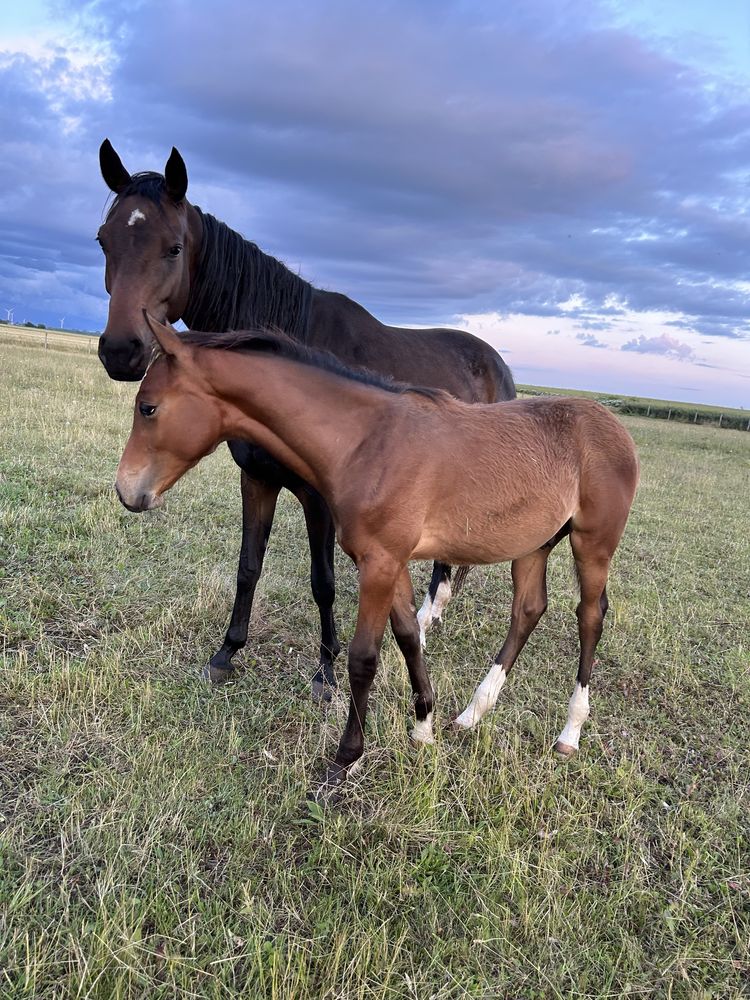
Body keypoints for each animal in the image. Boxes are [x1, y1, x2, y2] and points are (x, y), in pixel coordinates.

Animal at [97, 139, 516, 696]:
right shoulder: (257, 479)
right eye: (103, 241)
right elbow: (248, 567)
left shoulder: (319, 497)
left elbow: (323, 581)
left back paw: (425, 625)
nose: (120, 351)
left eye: (174, 248)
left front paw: (326, 670)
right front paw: (227, 653)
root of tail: (496, 363)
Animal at [116, 316, 640, 792]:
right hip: (534, 545)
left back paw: (570, 731)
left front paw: (346, 758)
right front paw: (424, 727)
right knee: (528, 610)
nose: (126, 491)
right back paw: (472, 713)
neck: (365, 441)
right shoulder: (393, 563)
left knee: (590, 617)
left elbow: (363, 658)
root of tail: (615, 425)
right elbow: (409, 637)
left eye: (148, 407)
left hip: (592, 544)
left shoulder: (380, 563)